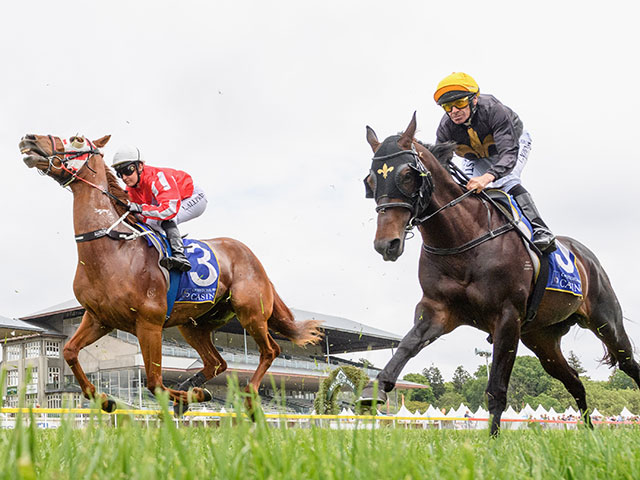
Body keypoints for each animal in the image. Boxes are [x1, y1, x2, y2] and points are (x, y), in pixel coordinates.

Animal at [19, 133, 322, 414]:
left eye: (77, 139)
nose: (29, 139)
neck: (113, 249)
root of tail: (253, 259)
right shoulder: (98, 319)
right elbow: (70, 351)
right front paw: (103, 398)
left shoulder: (149, 324)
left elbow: (155, 384)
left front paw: (184, 397)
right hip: (193, 325)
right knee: (218, 362)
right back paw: (193, 388)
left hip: (251, 313)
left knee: (270, 350)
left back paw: (244, 396)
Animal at [360, 112, 640, 436]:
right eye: (370, 180)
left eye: (407, 174)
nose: (386, 244)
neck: (463, 240)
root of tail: (585, 255)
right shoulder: (438, 311)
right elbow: (405, 347)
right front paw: (375, 391)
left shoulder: (506, 317)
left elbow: (497, 389)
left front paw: (492, 442)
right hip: (542, 340)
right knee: (574, 381)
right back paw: (590, 434)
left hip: (606, 321)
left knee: (629, 364)